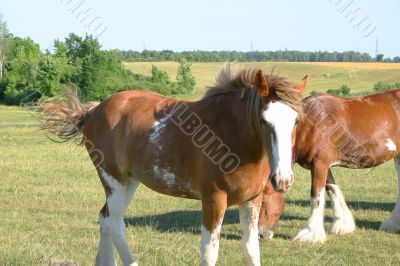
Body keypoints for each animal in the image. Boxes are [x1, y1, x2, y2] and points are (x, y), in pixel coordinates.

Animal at [39, 65, 306, 264]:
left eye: (295, 121)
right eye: (264, 121)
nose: (283, 179)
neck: (229, 136)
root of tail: (94, 111)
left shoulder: (251, 201)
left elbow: (251, 252)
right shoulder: (214, 201)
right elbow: (209, 253)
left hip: (129, 182)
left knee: (105, 218)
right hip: (113, 180)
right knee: (115, 223)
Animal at [258, 89, 400, 243]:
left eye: (263, 201)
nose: (260, 234)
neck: (309, 126)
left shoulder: (320, 164)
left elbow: (316, 196)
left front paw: (310, 234)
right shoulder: (321, 166)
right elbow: (332, 190)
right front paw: (342, 224)